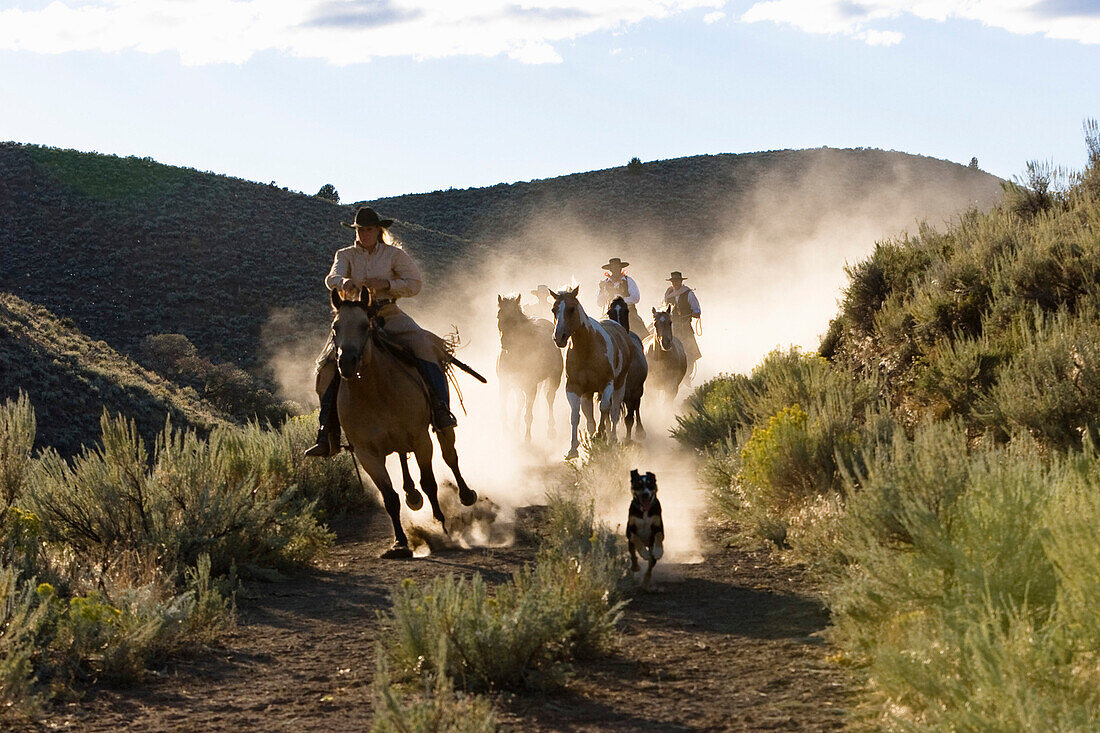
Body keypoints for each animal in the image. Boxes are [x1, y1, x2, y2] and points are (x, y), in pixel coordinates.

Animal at [327, 288, 479, 556]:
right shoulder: (367, 454)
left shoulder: (421, 439)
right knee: (402, 459)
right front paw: (399, 543)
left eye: (364, 325)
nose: (347, 362)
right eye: (336, 326)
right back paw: (412, 496)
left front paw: (442, 526)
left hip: (441, 427)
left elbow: (429, 482)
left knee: (450, 456)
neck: (375, 392)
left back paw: (466, 494)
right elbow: (389, 497)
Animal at [499, 292, 567, 440]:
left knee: (549, 398)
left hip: (554, 378)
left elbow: (529, 414)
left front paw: (527, 439)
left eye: (515, 318)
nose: (505, 342)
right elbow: (505, 409)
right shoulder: (505, 384)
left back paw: (551, 429)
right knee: (521, 400)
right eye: (499, 316)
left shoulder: (531, 386)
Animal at [550, 286, 638, 457]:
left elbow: (605, 409)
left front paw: (601, 433)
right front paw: (573, 448)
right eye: (554, 309)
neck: (587, 349)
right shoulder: (573, 388)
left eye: (572, 309)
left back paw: (611, 438)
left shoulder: (607, 384)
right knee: (590, 417)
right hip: (588, 393)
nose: (559, 337)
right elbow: (576, 415)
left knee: (613, 411)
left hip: (620, 384)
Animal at [602, 294, 642, 440]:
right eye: (609, 312)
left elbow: (629, 418)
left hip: (637, 392)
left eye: (626, 311)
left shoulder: (633, 392)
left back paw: (640, 430)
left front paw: (628, 440)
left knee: (636, 408)